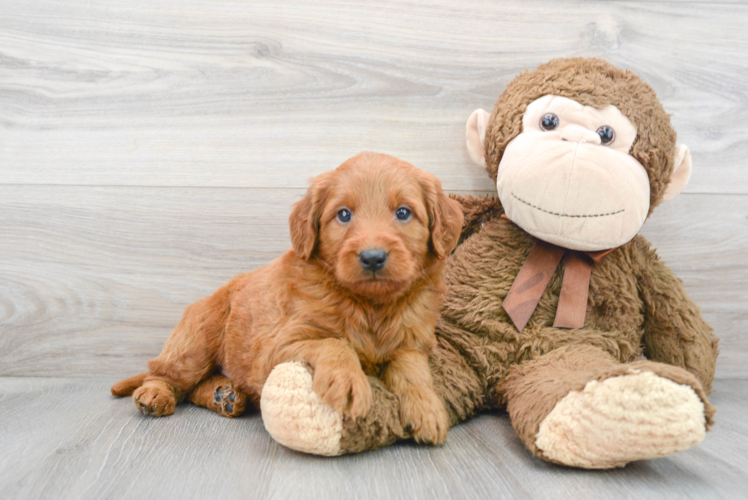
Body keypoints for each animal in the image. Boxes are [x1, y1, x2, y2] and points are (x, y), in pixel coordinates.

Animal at [111, 151, 462, 442]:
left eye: (403, 212)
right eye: (343, 215)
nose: (373, 257)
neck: (369, 305)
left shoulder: (413, 341)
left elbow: (412, 367)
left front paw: (427, 409)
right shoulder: (277, 347)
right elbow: (334, 342)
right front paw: (349, 381)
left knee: (196, 386)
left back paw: (224, 395)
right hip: (196, 342)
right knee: (164, 374)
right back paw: (156, 395)